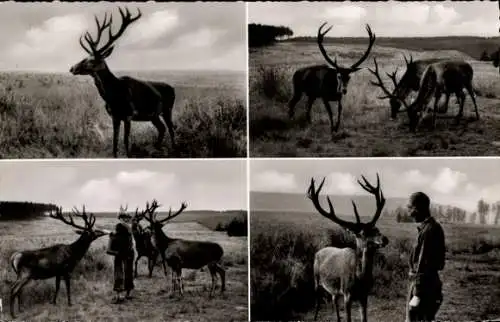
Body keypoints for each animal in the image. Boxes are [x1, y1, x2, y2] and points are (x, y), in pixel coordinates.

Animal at [69, 6, 177, 158]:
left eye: (92, 60)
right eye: (85, 57)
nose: (72, 68)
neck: (113, 95)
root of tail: (173, 88)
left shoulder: (128, 114)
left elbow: (126, 141)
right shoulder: (114, 116)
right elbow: (115, 142)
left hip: (167, 109)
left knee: (171, 129)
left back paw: (173, 150)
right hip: (154, 115)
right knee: (162, 129)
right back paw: (156, 149)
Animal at [306, 174, 388, 322]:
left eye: (377, 229)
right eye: (362, 233)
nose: (384, 239)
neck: (360, 280)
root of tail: (319, 251)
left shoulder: (364, 296)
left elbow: (364, 319)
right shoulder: (347, 293)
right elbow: (348, 318)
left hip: (335, 290)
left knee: (333, 300)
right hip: (316, 278)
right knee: (317, 301)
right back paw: (315, 317)